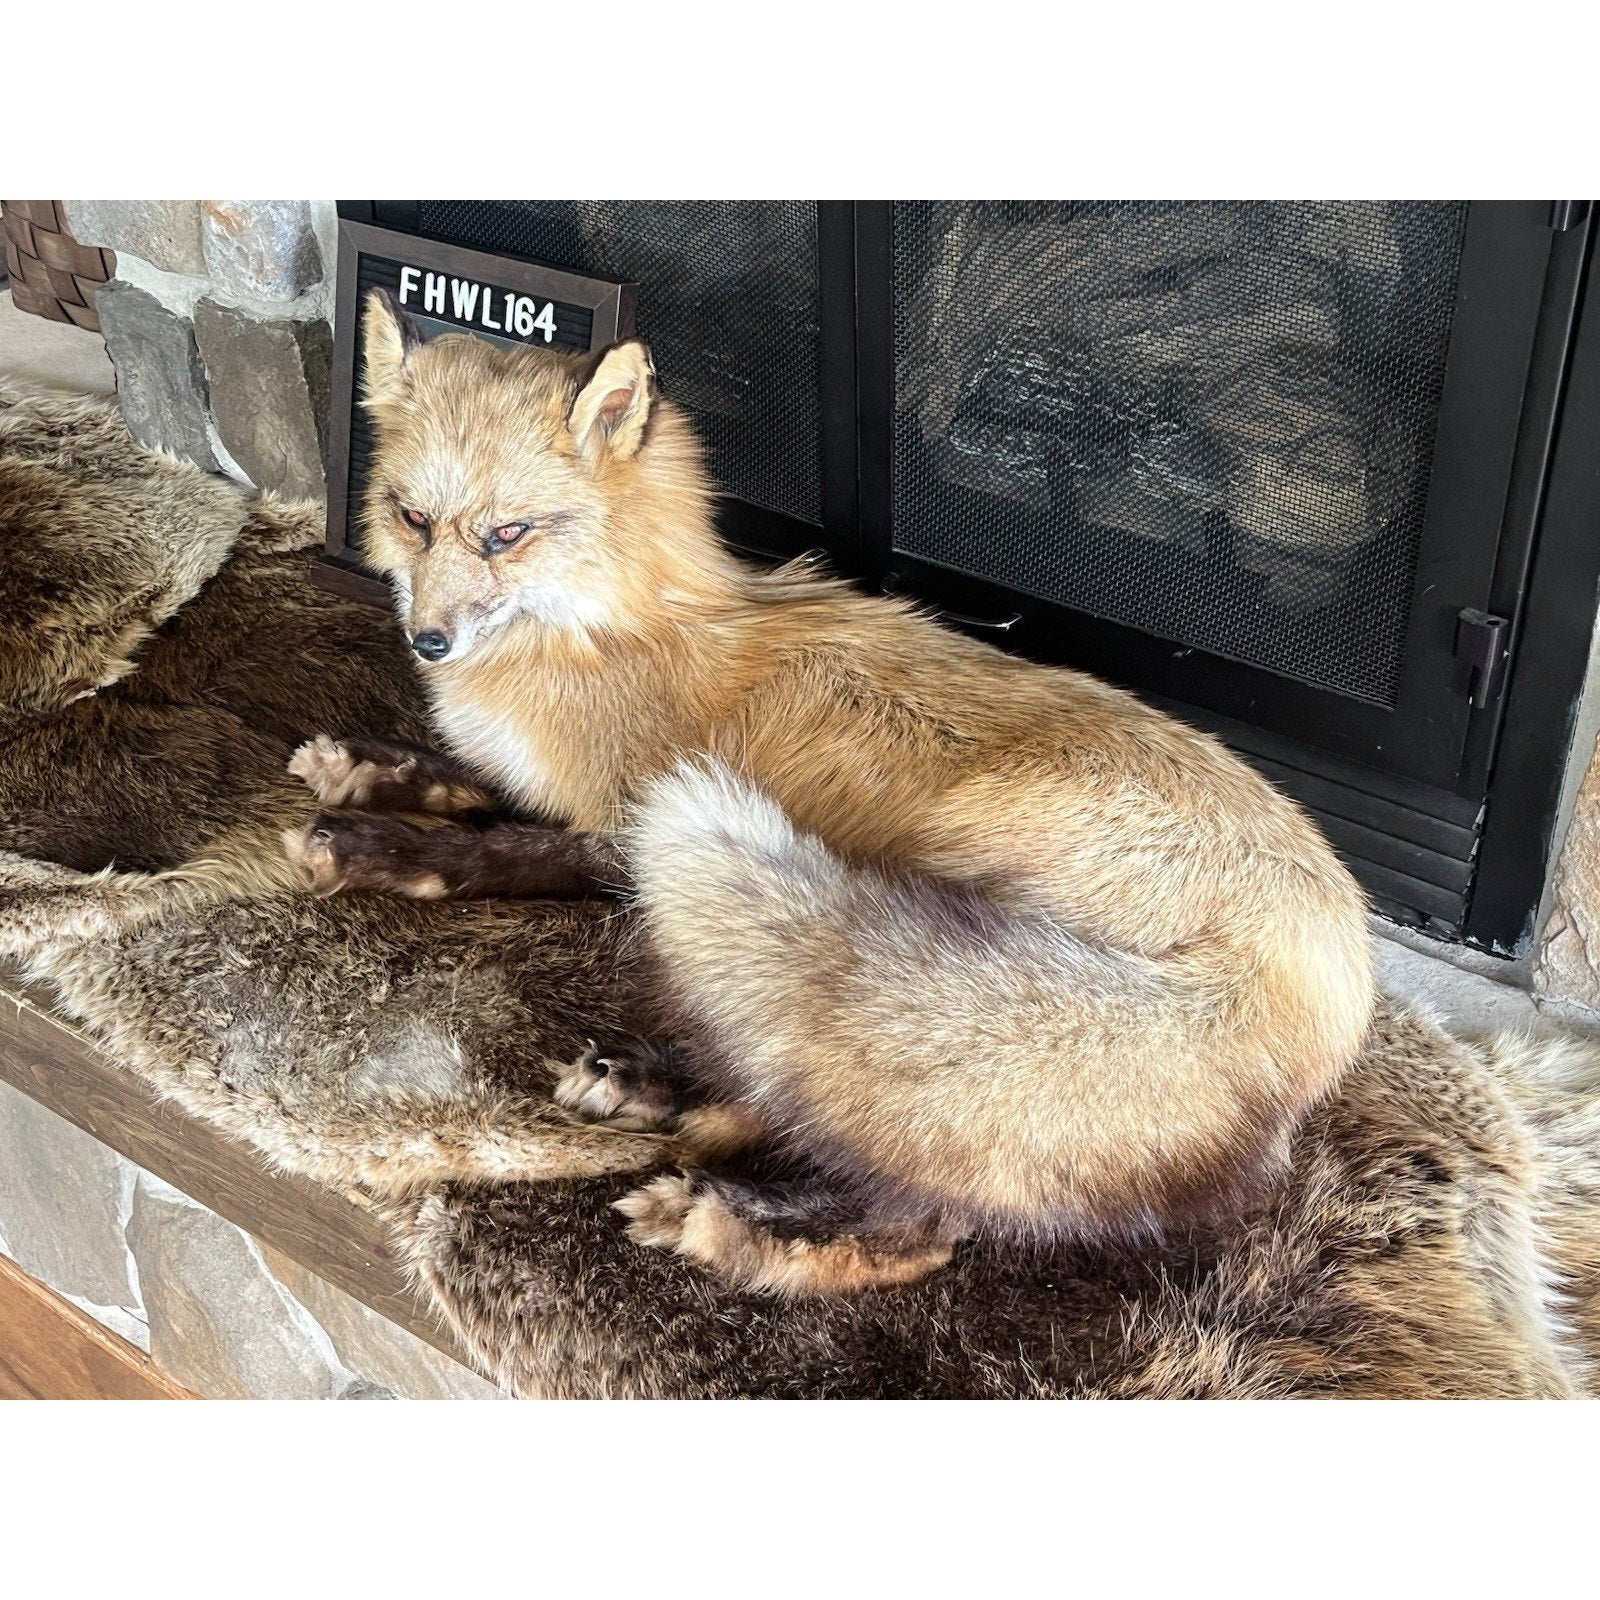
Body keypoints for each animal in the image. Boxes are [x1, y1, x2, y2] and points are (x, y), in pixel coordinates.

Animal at [285, 286, 1377, 1296]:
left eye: (506, 534)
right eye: (413, 517)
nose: (429, 639)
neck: (607, 634)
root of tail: (1340, 958)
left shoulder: (625, 821)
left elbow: (496, 849)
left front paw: (372, 847)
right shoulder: (555, 783)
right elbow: (465, 783)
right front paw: (364, 769)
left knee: (913, 1202)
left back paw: (722, 1211)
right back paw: (659, 1096)